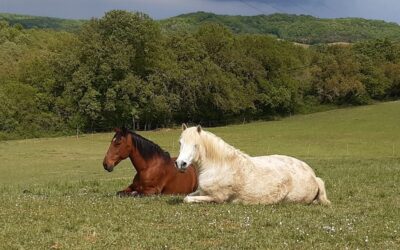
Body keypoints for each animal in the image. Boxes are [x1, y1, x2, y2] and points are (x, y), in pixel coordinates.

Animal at [176, 124, 332, 204]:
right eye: (180, 143)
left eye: (195, 145)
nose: (180, 163)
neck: (219, 166)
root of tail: (313, 176)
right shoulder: (201, 191)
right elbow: (187, 195)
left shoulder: (216, 198)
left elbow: (187, 199)